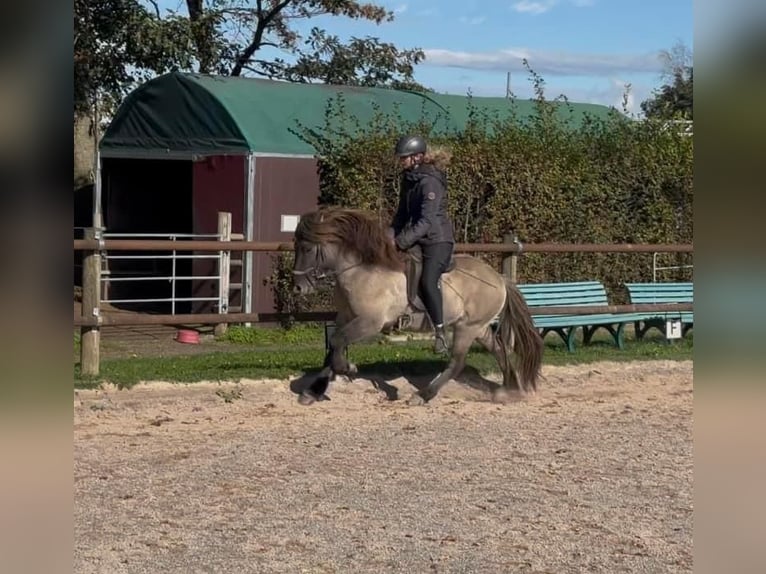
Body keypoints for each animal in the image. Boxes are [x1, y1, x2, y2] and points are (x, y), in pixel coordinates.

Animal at [290, 206, 544, 404]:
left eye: (307, 248)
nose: (298, 288)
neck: (361, 271)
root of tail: (499, 278)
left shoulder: (370, 322)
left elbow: (337, 342)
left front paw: (348, 368)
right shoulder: (344, 318)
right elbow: (332, 350)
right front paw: (312, 392)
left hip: (467, 328)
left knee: (458, 362)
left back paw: (423, 395)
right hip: (478, 327)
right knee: (499, 349)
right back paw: (510, 390)